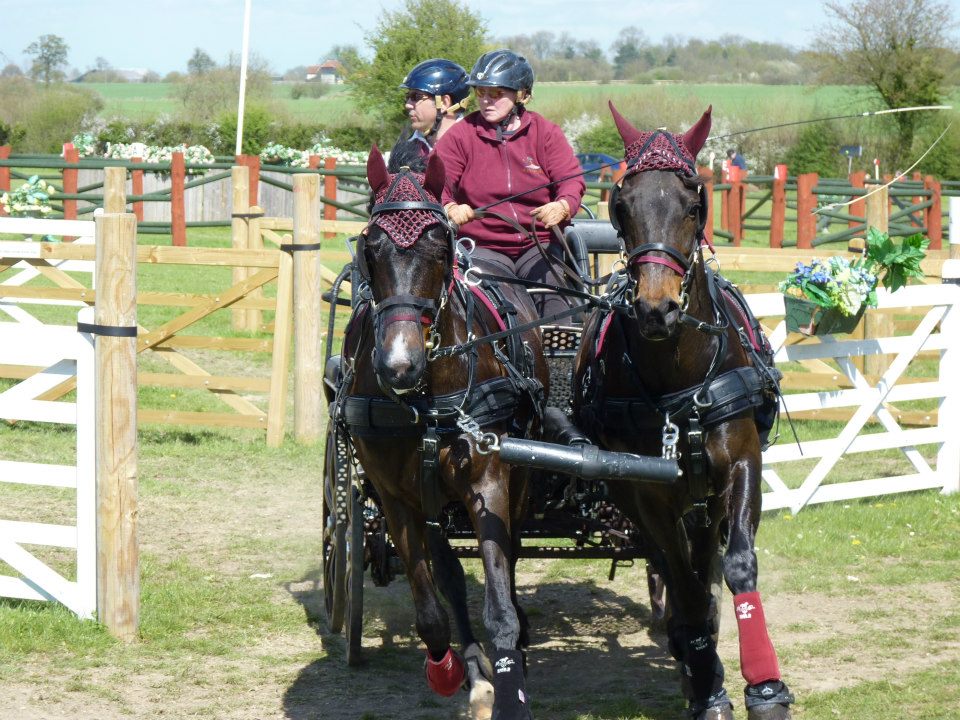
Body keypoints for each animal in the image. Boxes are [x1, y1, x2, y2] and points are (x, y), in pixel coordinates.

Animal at [334, 146, 548, 720]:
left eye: (438, 243)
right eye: (371, 245)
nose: (399, 365)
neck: (426, 397)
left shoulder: (488, 480)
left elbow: (499, 600)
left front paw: (511, 678)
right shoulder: (395, 497)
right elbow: (431, 609)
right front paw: (452, 671)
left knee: (510, 556)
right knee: (447, 573)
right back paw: (471, 668)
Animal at [572, 107, 792, 720]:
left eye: (694, 202)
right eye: (622, 204)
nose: (656, 308)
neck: (679, 381)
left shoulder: (740, 464)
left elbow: (738, 564)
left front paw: (765, 687)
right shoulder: (648, 492)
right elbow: (685, 583)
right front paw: (709, 685)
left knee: (706, 561)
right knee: (677, 569)